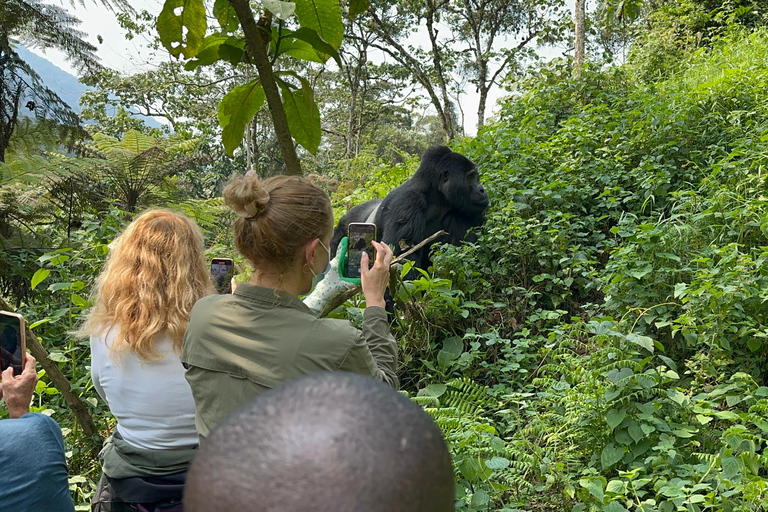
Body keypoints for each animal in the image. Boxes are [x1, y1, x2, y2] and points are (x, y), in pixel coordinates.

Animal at [328, 146, 486, 270]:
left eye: (476, 176)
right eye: (470, 177)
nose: (482, 190)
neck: (435, 194)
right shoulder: (408, 202)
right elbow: (403, 258)